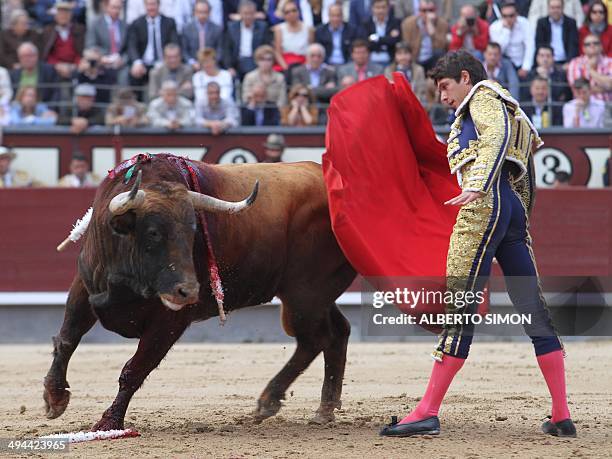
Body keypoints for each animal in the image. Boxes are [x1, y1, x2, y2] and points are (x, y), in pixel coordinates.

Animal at [43, 155, 354, 432]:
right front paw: (54, 397)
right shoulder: (85, 286)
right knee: (337, 331)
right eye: (153, 232)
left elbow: (135, 369)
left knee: (314, 339)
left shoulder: (171, 321)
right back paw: (324, 408)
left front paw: (109, 422)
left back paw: (270, 401)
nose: (189, 291)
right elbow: (67, 338)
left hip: (305, 293)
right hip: (316, 294)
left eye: (194, 231)